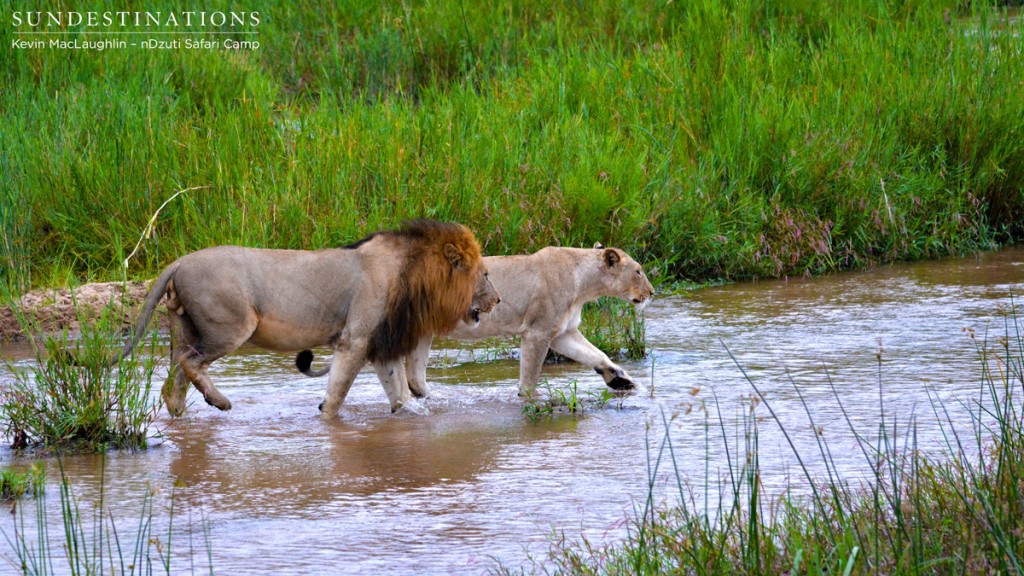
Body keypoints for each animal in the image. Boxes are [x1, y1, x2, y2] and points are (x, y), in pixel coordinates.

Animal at [112, 219, 495, 416]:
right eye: (486, 273)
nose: (498, 299)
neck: (415, 273)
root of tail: (179, 262)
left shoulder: (381, 340)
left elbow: (396, 389)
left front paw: (407, 414)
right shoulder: (356, 338)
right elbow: (339, 390)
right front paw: (327, 416)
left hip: (187, 328)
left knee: (175, 374)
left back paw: (181, 413)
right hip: (231, 326)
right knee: (191, 362)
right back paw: (219, 402)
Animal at [299, 241, 655, 399]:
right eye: (638, 271)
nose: (652, 292)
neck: (585, 285)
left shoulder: (563, 332)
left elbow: (597, 354)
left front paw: (621, 381)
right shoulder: (538, 331)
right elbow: (530, 373)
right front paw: (529, 399)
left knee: (413, 375)